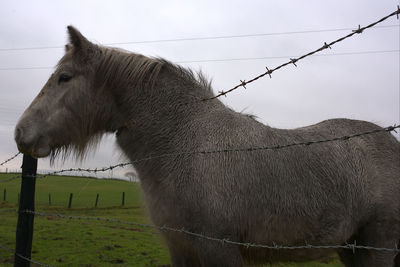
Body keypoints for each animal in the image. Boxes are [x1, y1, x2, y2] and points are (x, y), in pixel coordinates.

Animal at [14, 26, 398, 266]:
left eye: (64, 78)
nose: (20, 133)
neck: (185, 145)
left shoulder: (220, 249)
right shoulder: (181, 250)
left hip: (378, 245)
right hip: (351, 247)